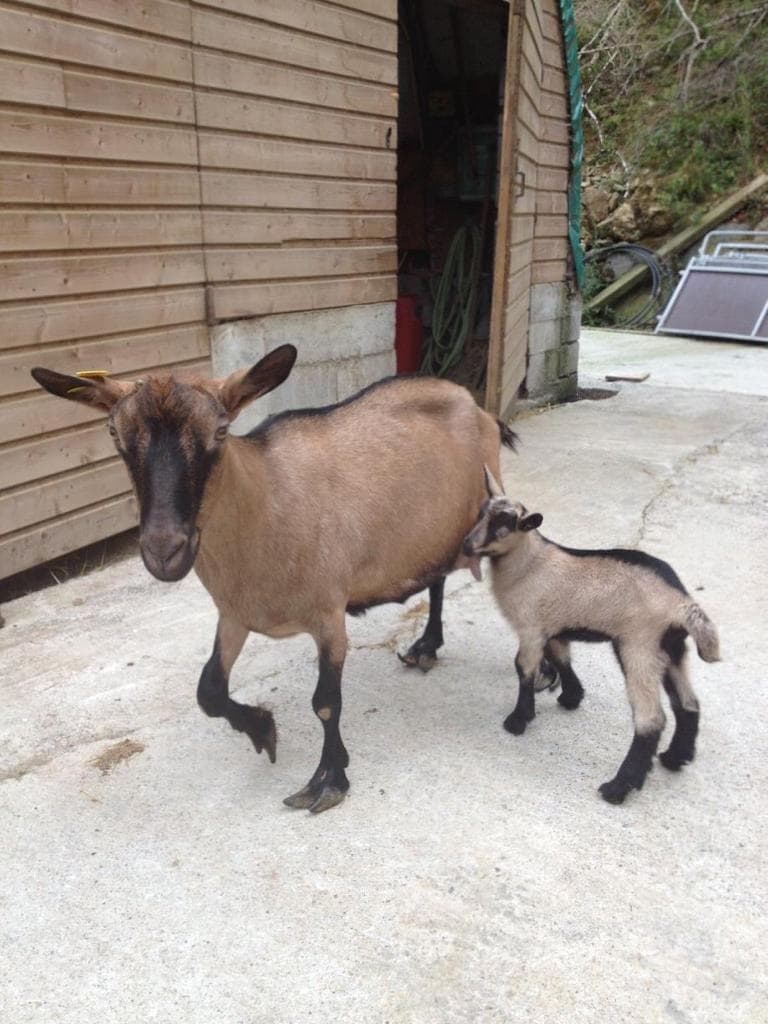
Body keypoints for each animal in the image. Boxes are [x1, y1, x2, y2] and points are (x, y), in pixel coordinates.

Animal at [32, 348, 517, 813]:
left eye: (221, 431)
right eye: (114, 434)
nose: (164, 551)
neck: (266, 502)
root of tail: (476, 405)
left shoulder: (328, 616)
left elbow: (325, 702)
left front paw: (329, 781)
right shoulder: (234, 614)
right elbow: (209, 689)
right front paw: (263, 731)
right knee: (437, 578)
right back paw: (425, 646)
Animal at [463, 467, 720, 804]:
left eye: (502, 526)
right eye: (481, 513)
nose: (466, 546)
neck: (530, 563)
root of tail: (682, 604)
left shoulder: (531, 629)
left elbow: (524, 668)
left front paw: (518, 720)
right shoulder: (552, 627)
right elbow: (561, 658)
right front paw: (571, 697)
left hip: (639, 647)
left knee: (651, 719)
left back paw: (619, 787)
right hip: (672, 649)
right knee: (688, 703)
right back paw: (676, 758)